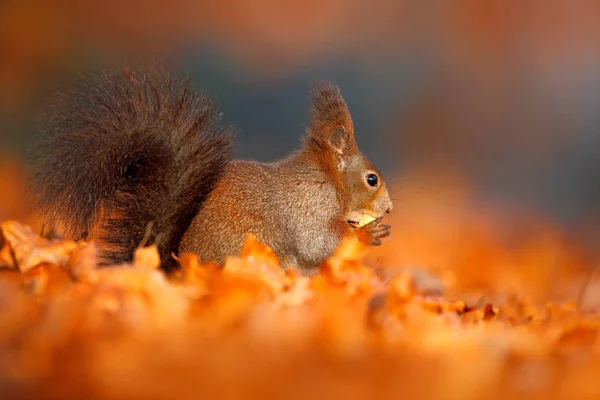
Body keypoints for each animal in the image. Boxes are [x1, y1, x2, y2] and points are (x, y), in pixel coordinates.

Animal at [30, 68, 394, 272]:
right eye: (371, 179)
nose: (390, 208)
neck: (329, 182)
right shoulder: (309, 205)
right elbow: (318, 241)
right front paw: (368, 234)